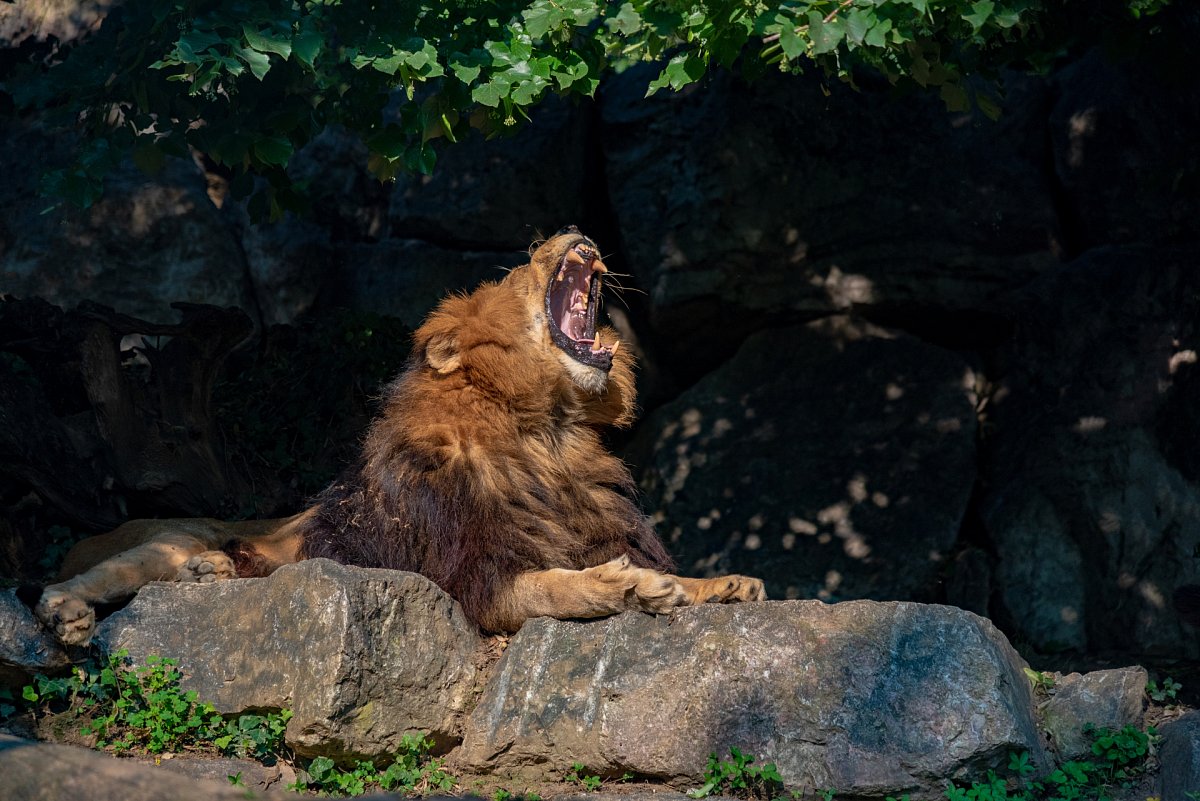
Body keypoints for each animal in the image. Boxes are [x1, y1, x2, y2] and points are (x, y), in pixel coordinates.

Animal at [33, 227, 765, 645]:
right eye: (516, 269)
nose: (574, 230)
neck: (545, 436)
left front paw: (722, 584)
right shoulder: (473, 579)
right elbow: (558, 585)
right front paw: (631, 588)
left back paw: (210, 574)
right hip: (171, 534)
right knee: (96, 576)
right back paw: (71, 610)